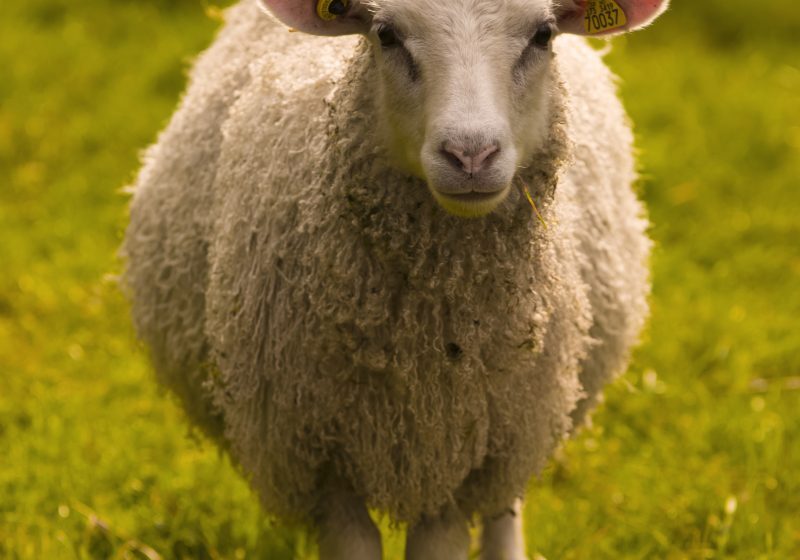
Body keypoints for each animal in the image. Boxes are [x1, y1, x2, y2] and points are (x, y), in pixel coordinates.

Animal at [123, 1, 668, 556]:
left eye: (543, 34)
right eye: (386, 35)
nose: (470, 156)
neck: (424, 342)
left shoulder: (461, 456)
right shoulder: (320, 455)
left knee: (504, 507)